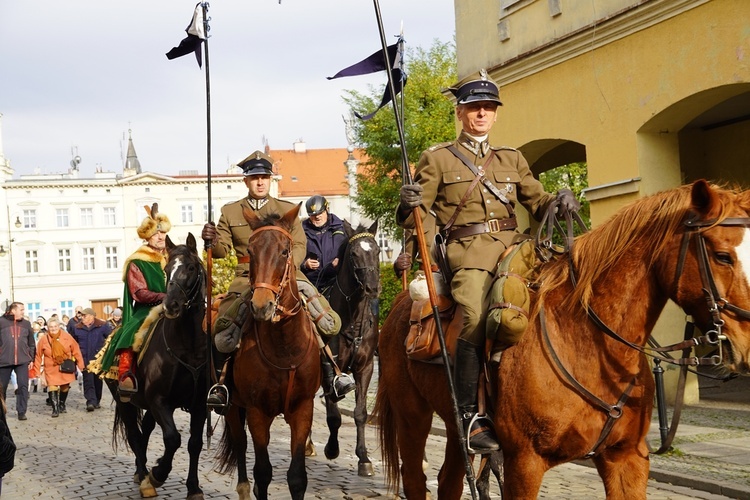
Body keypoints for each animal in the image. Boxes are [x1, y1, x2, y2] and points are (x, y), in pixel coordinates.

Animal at [106, 234, 209, 500]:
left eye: (190, 267)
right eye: (166, 269)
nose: (170, 305)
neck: (188, 347)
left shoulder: (199, 403)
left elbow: (194, 444)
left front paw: (193, 487)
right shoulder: (160, 401)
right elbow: (173, 439)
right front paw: (158, 474)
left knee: (145, 431)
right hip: (124, 401)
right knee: (134, 435)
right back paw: (144, 477)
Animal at [219, 204, 322, 500]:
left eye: (285, 251)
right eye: (251, 252)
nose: (261, 306)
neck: (284, 346)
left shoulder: (303, 408)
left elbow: (297, 477)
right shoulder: (257, 412)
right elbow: (262, 473)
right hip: (232, 406)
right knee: (240, 444)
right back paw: (242, 488)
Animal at [312, 220, 382, 476]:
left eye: (377, 250)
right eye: (354, 254)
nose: (373, 288)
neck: (352, 320)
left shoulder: (366, 368)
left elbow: (360, 414)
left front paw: (364, 458)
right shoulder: (328, 368)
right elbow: (333, 416)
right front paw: (331, 449)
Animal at [376, 180, 750, 500]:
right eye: (722, 255)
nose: (747, 347)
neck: (591, 343)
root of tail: (401, 301)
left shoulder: (627, 459)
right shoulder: (523, 464)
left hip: (455, 426)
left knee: (449, 480)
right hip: (412, 416)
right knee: (416, 478)